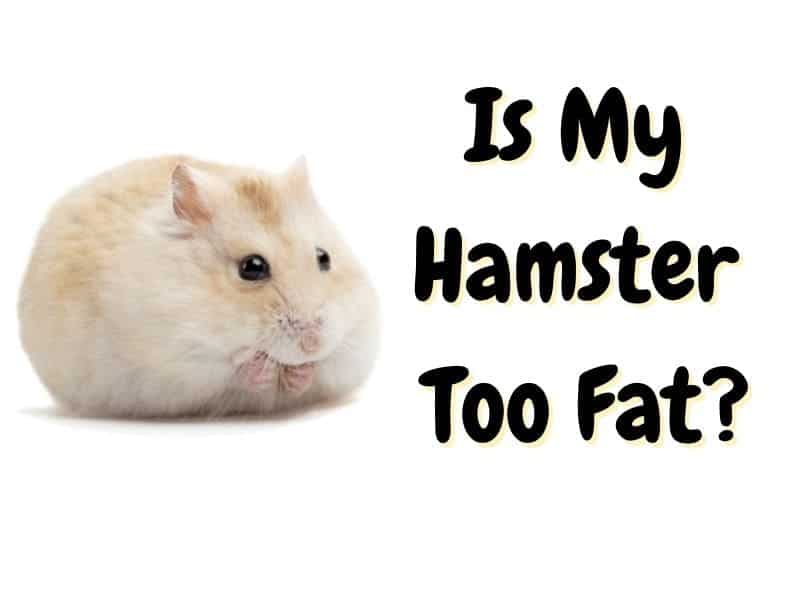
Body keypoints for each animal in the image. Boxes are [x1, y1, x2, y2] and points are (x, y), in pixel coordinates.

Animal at [18, 155, 379, 417]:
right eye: (252, 267)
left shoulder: (355, 345)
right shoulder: (177, 358)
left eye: (324, 257)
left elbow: (323, 368)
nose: (313, 344)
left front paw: (300, 372)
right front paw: (262, 368)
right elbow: (234, 368)